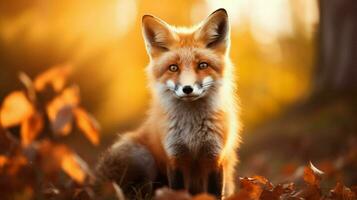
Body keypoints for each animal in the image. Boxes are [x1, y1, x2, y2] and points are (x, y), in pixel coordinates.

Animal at [96, 8, 239, 199]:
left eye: (202, 65)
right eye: (173, 68)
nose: (187, 89)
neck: (192, 133)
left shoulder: (215, 158)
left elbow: (214, 193)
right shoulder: (174, 157)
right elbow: (176, 191)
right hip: (141, 156)